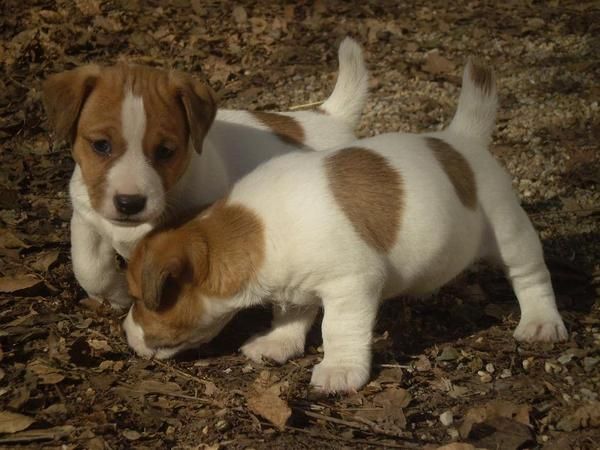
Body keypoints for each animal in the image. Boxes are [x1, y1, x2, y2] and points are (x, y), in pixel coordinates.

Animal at [123, 60, 568, 394]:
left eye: (141, 299)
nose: (125, 331)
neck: (254, 228)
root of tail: (461, 139)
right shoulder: (295, 285)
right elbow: (291, 313)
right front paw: (278, 342)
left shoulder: (351, 285)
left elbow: (336, 328)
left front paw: (339, 370)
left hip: (510, 234)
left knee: (531, 276)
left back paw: (540, 322)